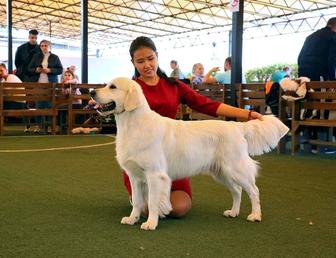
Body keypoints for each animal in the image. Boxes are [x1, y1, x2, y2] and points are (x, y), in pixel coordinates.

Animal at [91, 76, 288, 230]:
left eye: (113, 87)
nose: (92, 92)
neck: (133, 124)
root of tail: (237, 126)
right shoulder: (135, 176)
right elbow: (138, 201)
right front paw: (132, 219)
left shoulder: (155, 174)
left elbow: (152, 201)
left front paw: (151, 223)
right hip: (221, 172)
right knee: (237, 191)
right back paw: (233, 212)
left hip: (235, 168)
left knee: (253, 190)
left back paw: (255, 215)